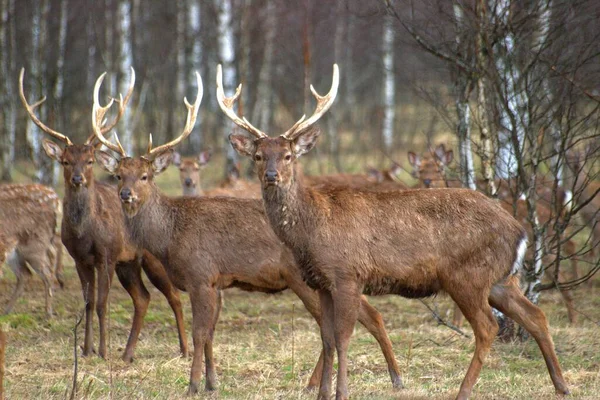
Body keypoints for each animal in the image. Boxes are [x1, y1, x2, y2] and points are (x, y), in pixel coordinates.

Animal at [0, 183, 61, 318]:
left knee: (47, 274)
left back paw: (48, 313)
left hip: (35, 249)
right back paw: (6, 311)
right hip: (16, 254)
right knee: (25, 274)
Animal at [18, 67, 188, 360]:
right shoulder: (80, 259)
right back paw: (128, 353)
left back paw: (184, 350)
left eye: (89, 161)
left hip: (151, 258)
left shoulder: (106, 254)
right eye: (65, 161)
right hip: (129, 263)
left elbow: (101, 303)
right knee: (143, 298)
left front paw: (103, 351)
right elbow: (87, 303)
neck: (85, 232)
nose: (77, 178)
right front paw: (86, 350)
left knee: (174, 296)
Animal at [92, 70, 404, 396]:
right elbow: (211, 333)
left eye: (145, 176)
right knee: (367, 316)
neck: (170, 235)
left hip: (311, 278)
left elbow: (199, 333)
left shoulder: (200, 275)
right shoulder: (215, 282)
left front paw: (193, 385)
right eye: (118, 175)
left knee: (349, 320)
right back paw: (387, 377)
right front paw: (212, 383)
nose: (125, 194)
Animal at [220, 64, 568, 398]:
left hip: (467, 275)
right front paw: (321, 393)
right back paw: (560, 385)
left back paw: (464, 391)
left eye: (289, 155)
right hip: (500, 279)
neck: (310, 230)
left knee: (487, 327)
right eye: (258, 155)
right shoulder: (320, 282)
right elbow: (327, 339)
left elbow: (343, 337)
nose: (271, 175)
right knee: (535, 315)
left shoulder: (348, 274)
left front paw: (341, 392)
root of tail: (519, 230)